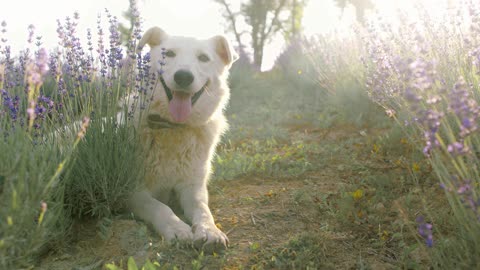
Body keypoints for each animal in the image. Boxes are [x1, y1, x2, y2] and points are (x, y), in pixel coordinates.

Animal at [129, 26, 238, 252]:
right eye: (169, 54)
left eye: (203, 58)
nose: (184, 77)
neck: (173, 128)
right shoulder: (132, 191)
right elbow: (159, 206)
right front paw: (177, 228)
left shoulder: (193, 187)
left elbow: (203, 210)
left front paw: (210, 231)